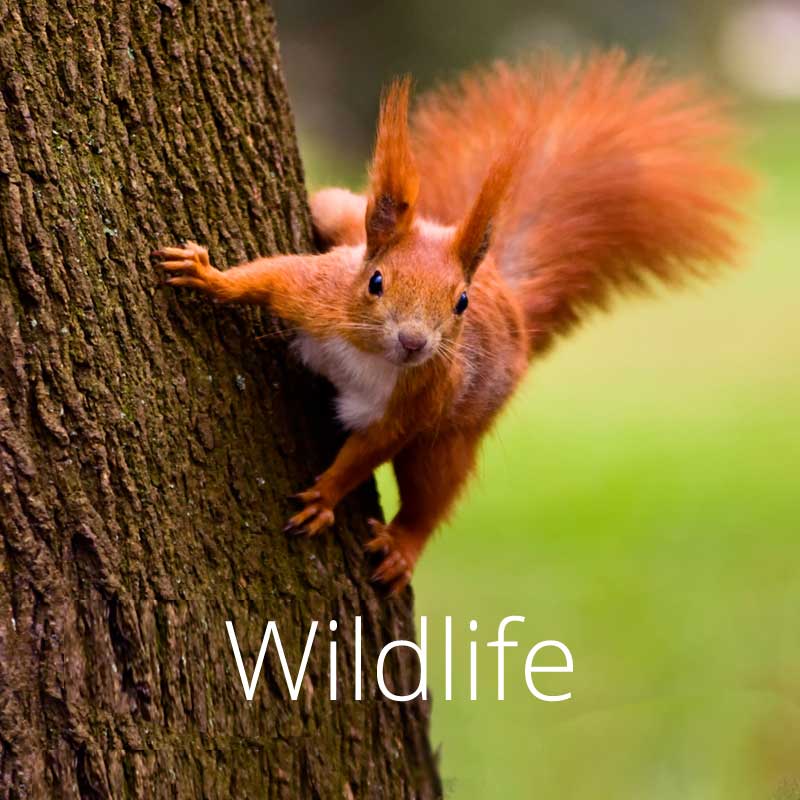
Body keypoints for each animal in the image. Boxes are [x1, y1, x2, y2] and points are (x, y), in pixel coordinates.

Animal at [154, 52, 750, 594]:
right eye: (375, 282)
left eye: (460, 303)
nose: (414, 342)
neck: (370, 353)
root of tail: (510, 300)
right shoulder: (317, 295)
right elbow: (268, 277)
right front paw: (208, 275)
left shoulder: (417, 403)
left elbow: (367, 451)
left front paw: (325, 497)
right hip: (343, 219)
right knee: (333, 208)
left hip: (454, 435)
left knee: (432, 491)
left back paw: (403, 545)